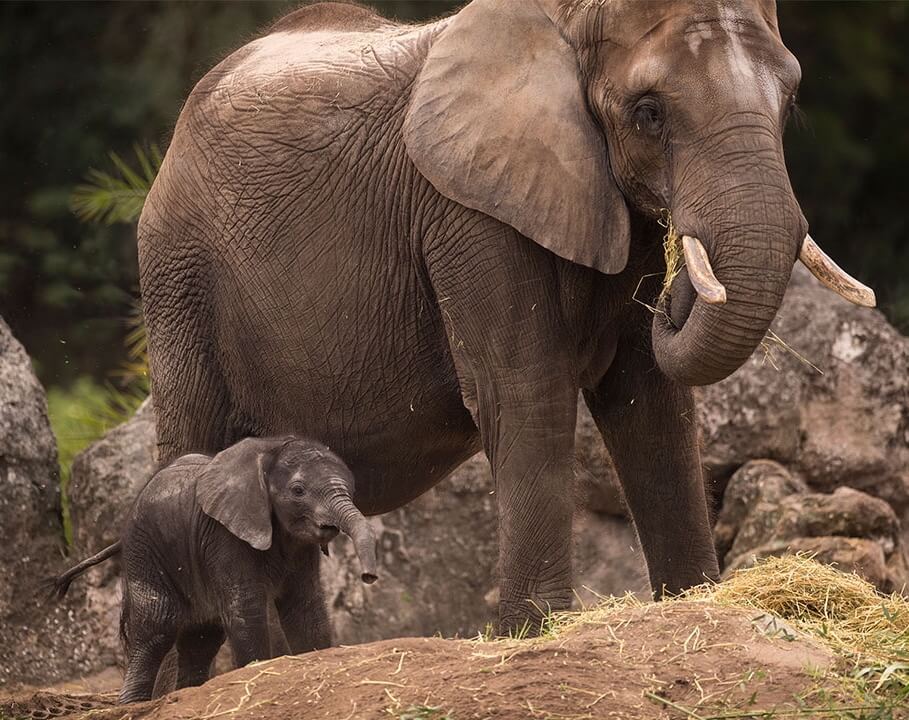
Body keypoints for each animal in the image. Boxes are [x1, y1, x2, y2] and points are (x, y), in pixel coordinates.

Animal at [50, 434, 376, 704]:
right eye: (298, 491)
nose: (368, 576)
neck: (268, 451)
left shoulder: (299, 545)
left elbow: (305, 606)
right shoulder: (223, 536)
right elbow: (245, 608)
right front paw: (255, 669)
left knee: (201, 639)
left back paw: (185, 694)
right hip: (145, 551)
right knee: (156, 628)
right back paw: (132, 705)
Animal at [140, 0, 872, 632]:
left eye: (789, 100)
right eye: (648, 113)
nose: (673, 288)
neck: (566, 22)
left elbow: (651, 403)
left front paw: (695, 604)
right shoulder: (467, 210)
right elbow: (526, 390)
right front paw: (537, 631)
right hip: (178, 281)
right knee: (193, 447)